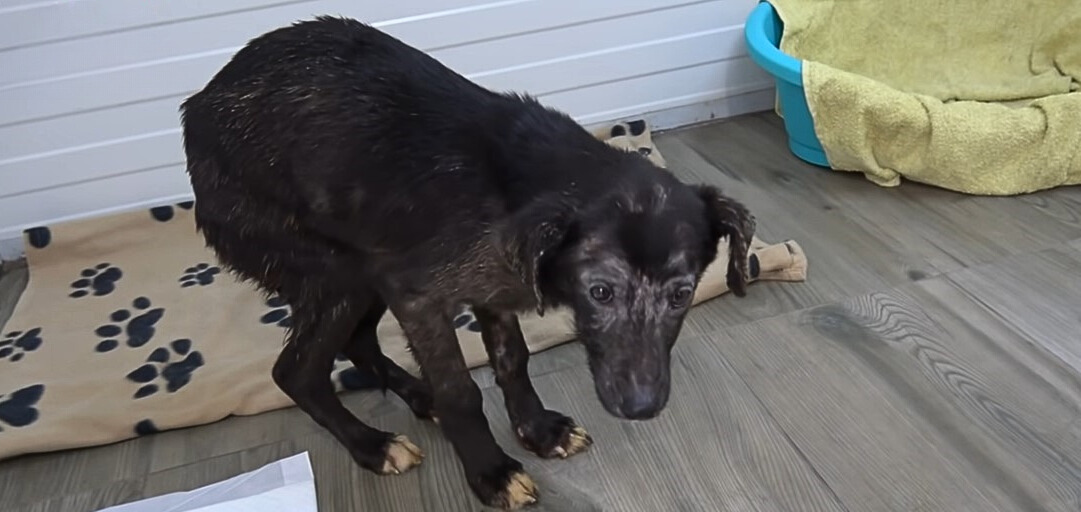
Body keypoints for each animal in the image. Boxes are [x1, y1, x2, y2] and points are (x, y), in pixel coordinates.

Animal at [179, 15, 752, 507]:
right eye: (601, 292)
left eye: (681, 295)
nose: (642, 408)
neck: (521, 193)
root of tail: (199, 105)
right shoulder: (415, 294)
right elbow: (460, 391)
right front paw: (490, 472)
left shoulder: (489, 290)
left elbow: (513, 360)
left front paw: (538, 430)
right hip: (337, 270)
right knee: (296, 371)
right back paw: (373, 445)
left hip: (362, 267)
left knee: (357, 341)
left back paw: (417, 395)